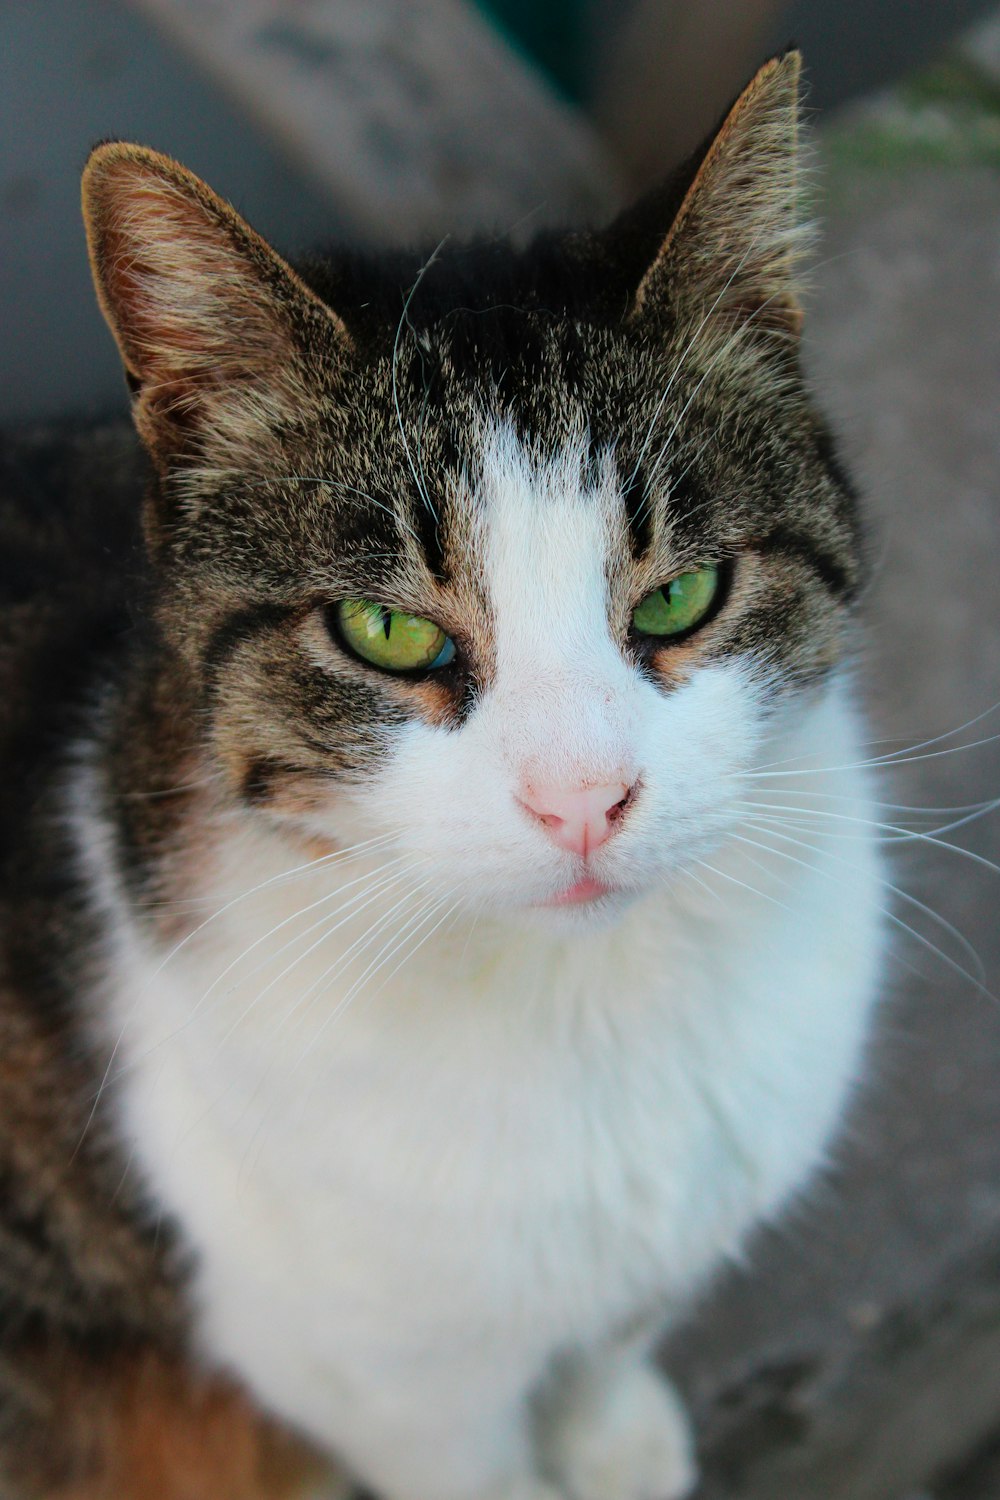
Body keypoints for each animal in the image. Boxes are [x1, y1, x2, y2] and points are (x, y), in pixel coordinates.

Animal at [0, 49, 881, 1500]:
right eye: (386, 629)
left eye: (682, 597)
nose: (582, 799)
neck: (590, 1015)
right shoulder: (367, 1375)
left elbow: (614, 1330)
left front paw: (614, 1433)